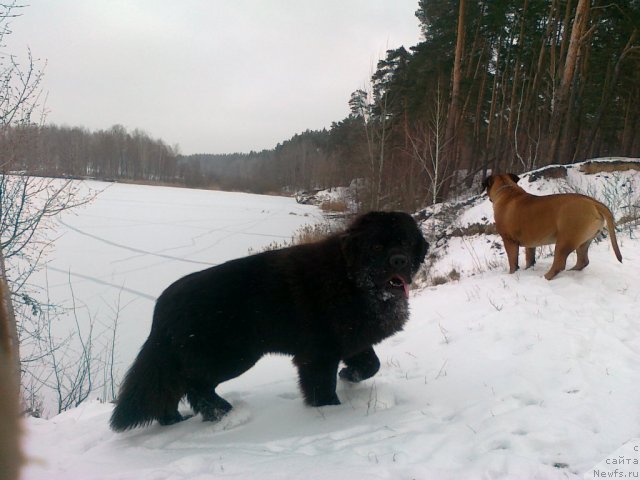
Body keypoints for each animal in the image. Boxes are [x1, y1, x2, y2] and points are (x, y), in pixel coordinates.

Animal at [111, 211, 430, 432]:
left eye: (404, 242)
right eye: (376, 247)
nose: (399, 261)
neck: (352, 279)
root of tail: (163, 304)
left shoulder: (353, 340)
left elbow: (371, 364)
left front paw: (349, 376)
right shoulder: (319, 354)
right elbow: (322, 388)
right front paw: (329, 415)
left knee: (171, 386)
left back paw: (176, 420)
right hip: (230, 356)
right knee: (193, 385)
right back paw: (224, 413)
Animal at [482, 173, 624, 280]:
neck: (507, 190)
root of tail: (594, 203)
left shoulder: (509, 241)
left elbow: (512, 263)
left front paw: (512, 274)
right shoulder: (530, 244)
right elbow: (530, 259)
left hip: (565, 240)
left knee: (559, 264)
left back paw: (545, 277)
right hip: (583, 242)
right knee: (583, 261)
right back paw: (572, 272)